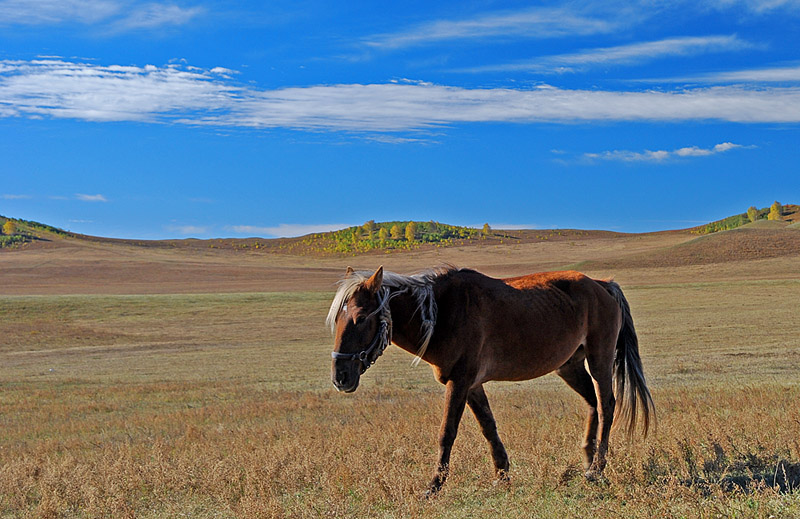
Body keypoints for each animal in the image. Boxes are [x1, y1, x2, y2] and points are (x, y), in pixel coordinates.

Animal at [326, 266, 656, 498]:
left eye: (361, 318)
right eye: (337, 320)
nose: (340, 377)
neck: (442, 314)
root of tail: (602, 284)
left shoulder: (460, 381)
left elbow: (447, 433)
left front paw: (434, 486)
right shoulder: (472, 385)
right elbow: (488, 427)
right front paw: (502, 475)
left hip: (600, 357)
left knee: (606, 405)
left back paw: (597, 469)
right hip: (570, 365)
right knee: (592, 402)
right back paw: (587, 460)